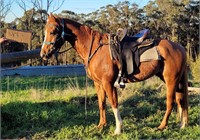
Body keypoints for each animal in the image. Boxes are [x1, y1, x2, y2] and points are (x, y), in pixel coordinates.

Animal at [39, 13, 188, 135]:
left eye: (53, 31)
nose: (43, 54)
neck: (95, 48)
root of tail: (180, 47)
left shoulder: (108, 83)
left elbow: (113, 103)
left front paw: (118, 129)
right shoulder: (99, 84)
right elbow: (102, 103)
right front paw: (101, 125)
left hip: (171, 80)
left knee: (171, 102)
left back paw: (162, 126)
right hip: (175, 81)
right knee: (181, 99)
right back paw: (182, 124)